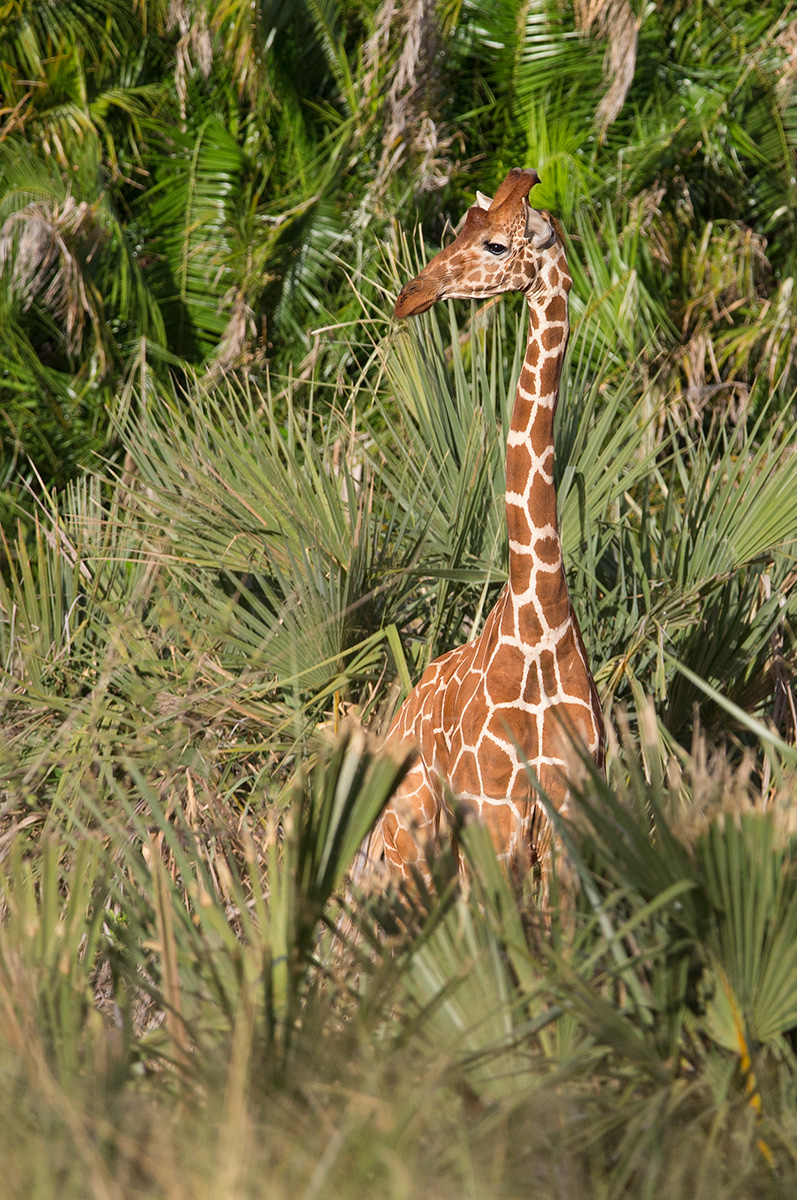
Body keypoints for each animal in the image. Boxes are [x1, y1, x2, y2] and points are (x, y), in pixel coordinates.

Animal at [381, 167, 604, 887]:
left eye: (496, 244)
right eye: (459, 228)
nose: (410, 295)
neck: (540, 627)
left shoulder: (568, 825)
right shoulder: (493, 818)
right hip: (408, 844)